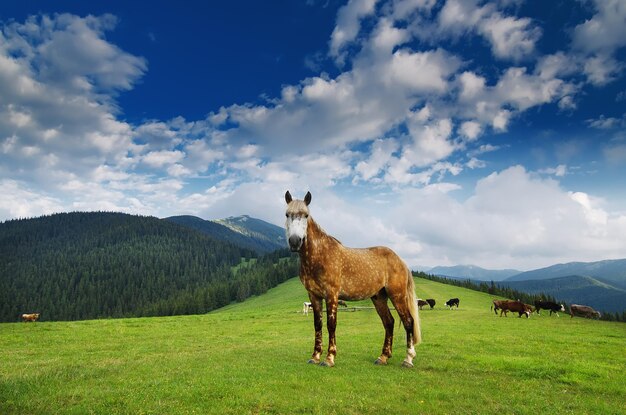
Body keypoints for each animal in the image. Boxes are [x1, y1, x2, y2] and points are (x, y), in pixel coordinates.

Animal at [284, 190, 420, 368]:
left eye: (306, 215)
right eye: (287, 214)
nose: (295, 241)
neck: (320, 255)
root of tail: (400, 261)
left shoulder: (331, 295)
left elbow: (331, 324)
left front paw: (329, 358)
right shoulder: (314, 296)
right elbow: (317, 324)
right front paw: (315, 356)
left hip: (397, 295)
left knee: (408, 321)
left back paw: (408, 359)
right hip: (379, 297)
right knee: (389, 322)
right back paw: (383, 357)